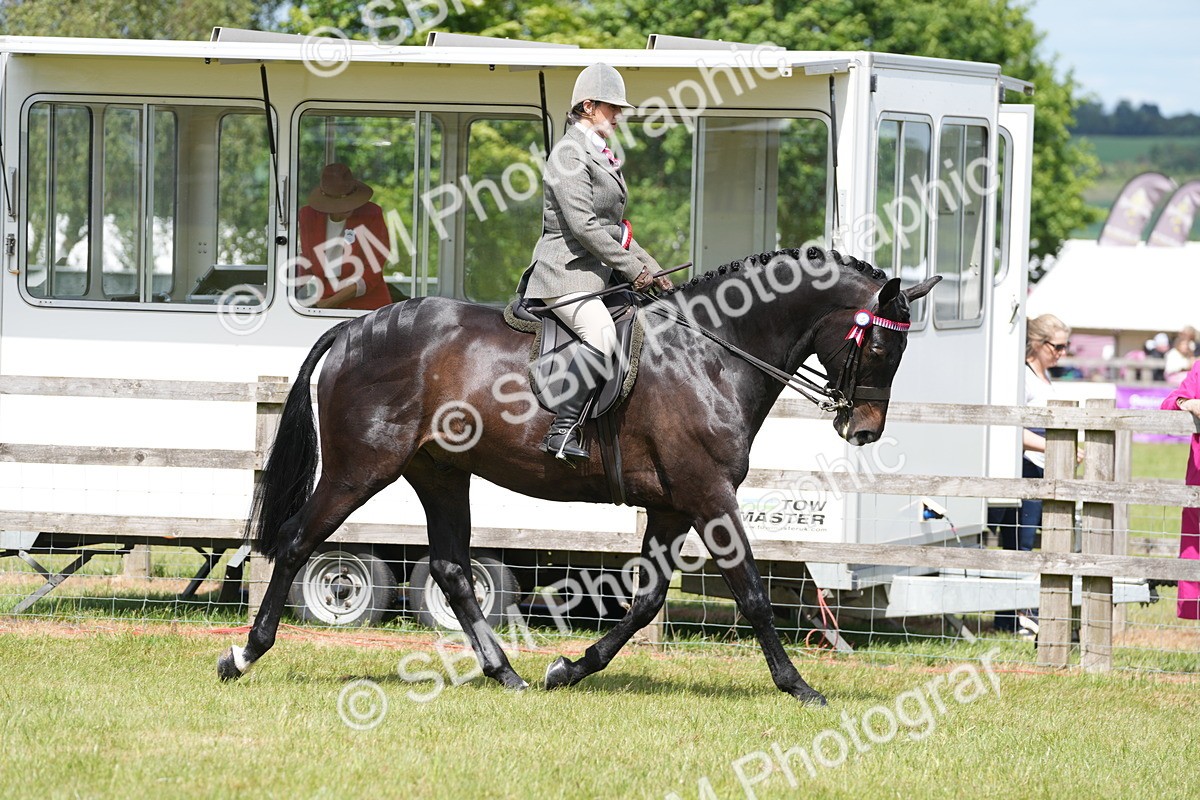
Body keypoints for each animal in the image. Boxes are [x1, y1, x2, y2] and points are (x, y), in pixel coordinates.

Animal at [217, 246, 939, 706]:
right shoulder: (709, 496)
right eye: (880, 343)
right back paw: (243, 655)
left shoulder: (673, 506)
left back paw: (507, 675)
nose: (865, 430)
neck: (712, 352)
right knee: (296, 542)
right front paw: (800, 687)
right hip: (359, 470)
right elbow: (755, 595)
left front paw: (569, 669)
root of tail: (353, 329)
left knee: (451, 570)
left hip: (441, 474)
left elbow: (647, 601)